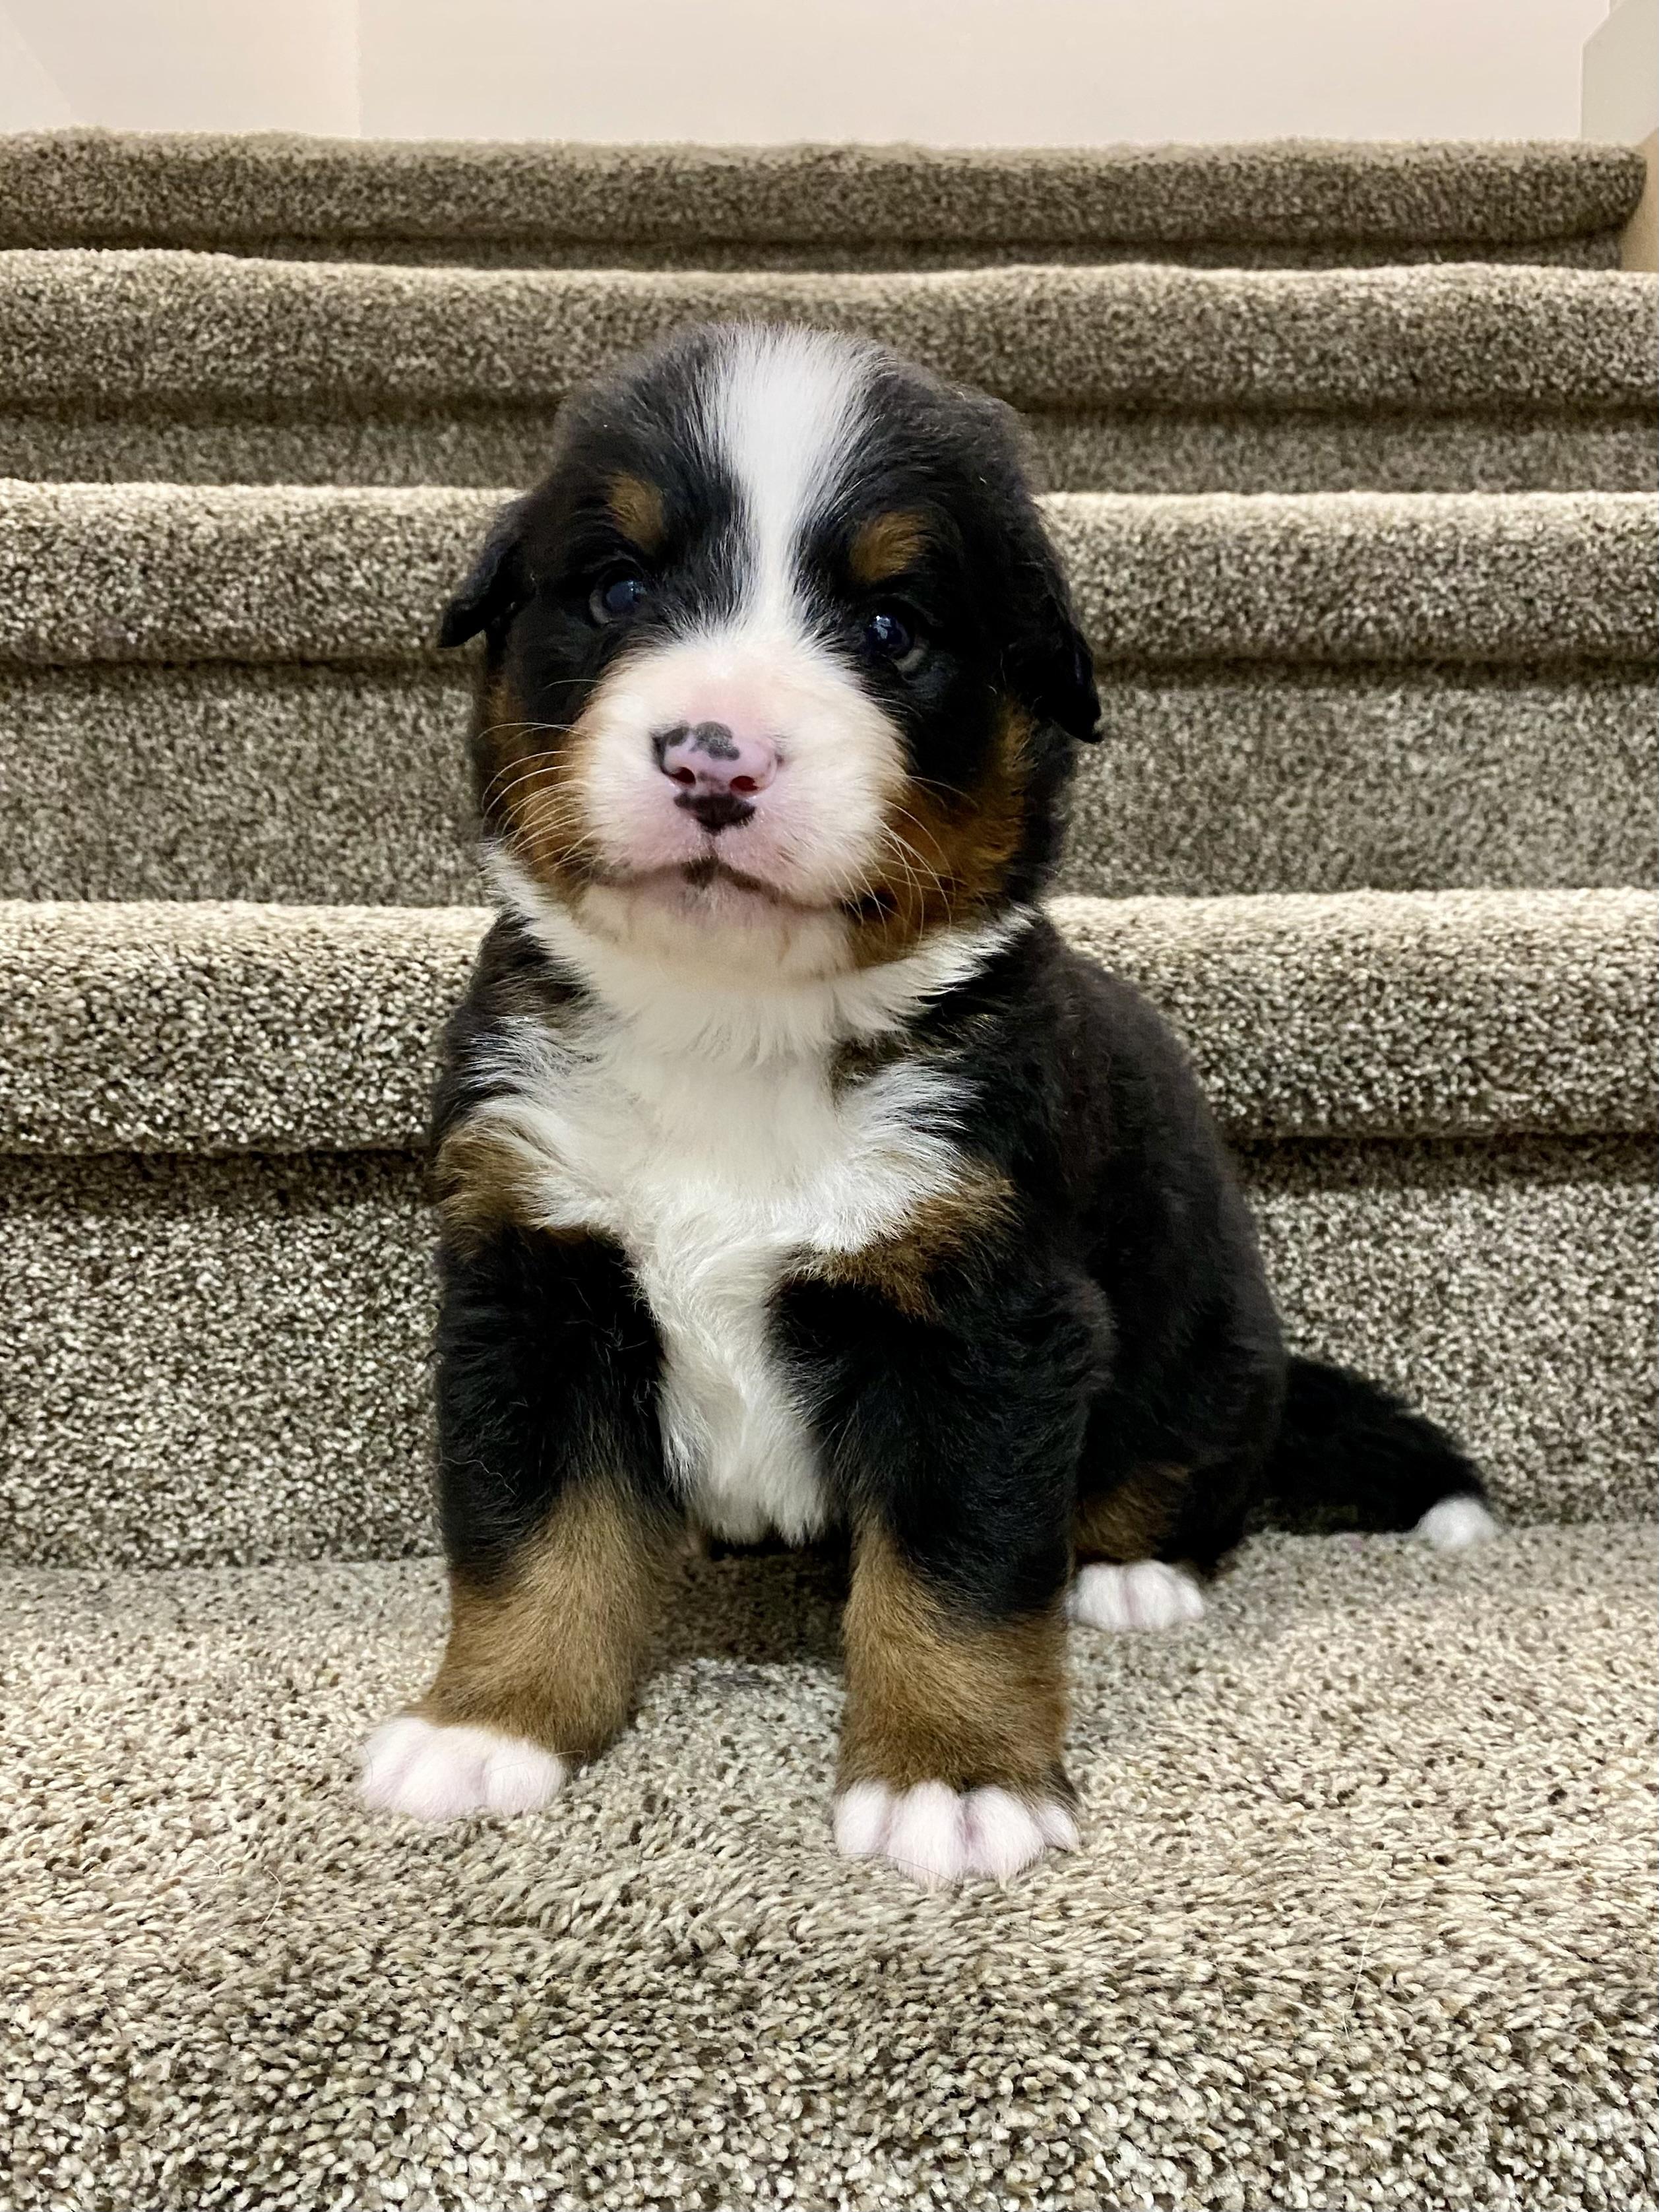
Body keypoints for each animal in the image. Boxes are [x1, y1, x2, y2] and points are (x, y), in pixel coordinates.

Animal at [358, 323, 1495, 1886]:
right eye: (620, 587)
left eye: (894, 627)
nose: (715, 753)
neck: (736, 1027)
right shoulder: (532, 1265)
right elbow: (533, 1531)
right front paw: (489, 1724)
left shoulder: (989, 1309)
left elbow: (958, 1567)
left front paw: (951, 1774)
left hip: (1203, 1337)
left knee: (1189, 1470)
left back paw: (1130, 1574)